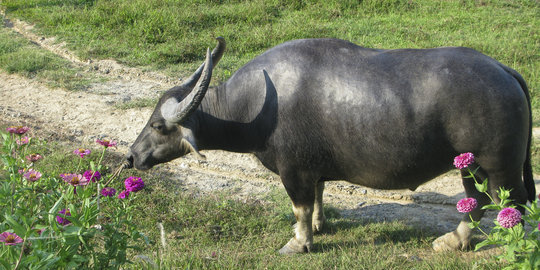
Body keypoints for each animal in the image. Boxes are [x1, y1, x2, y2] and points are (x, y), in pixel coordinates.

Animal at [124, 37, 532, 253]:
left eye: (158, 125)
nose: (131, 156)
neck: (253, 106)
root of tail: (504, 71)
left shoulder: (293, 171)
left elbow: (300, 207)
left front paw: (299, 242)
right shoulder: (312, 170)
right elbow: (319, 197)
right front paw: (320, 226)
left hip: (493, 166)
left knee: (505, 205)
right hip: (471, 166)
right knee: (480, 203)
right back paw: (455, 241)